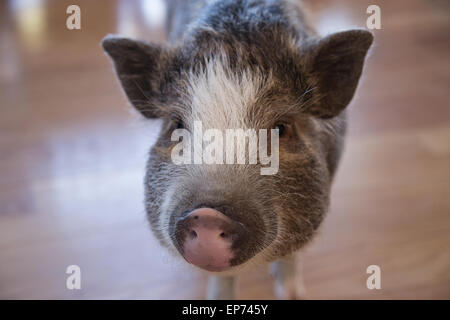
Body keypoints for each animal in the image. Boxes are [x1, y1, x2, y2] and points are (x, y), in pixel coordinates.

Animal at [103, 0, 372, 300]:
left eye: (281, 128)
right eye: (177, 126)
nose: (206, 216)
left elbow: (290, 255)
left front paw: (292, 294)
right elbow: (224, 276)